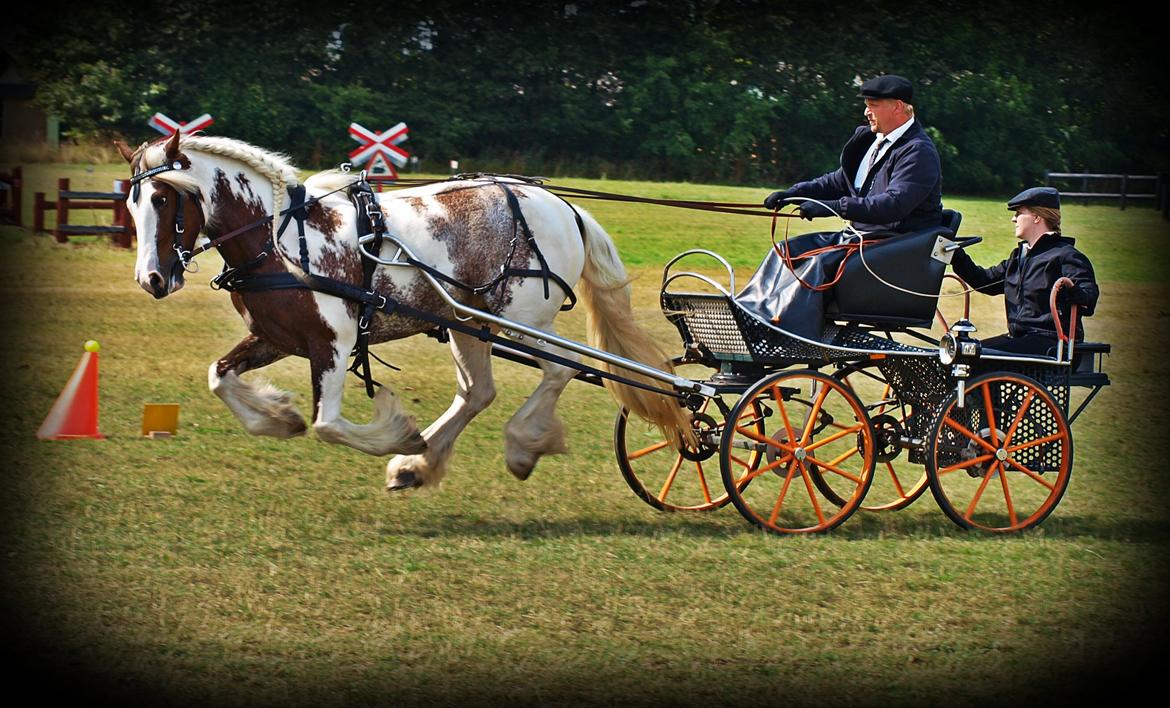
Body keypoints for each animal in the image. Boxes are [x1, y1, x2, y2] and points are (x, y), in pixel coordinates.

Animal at [114, 129, 687, 489]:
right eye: (131, 203)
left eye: (163, 199)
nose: (152, 280)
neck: (281, 239)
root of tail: (565, 208)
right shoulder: (276, 338)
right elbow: (219, 376)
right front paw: (278, 417)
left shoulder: (334, 344)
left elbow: (329, 424)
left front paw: (394, 433)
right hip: (468, 323)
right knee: (479, 392)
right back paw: (417, 464)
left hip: (523, 322)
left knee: (557, 372)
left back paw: (519, 445)